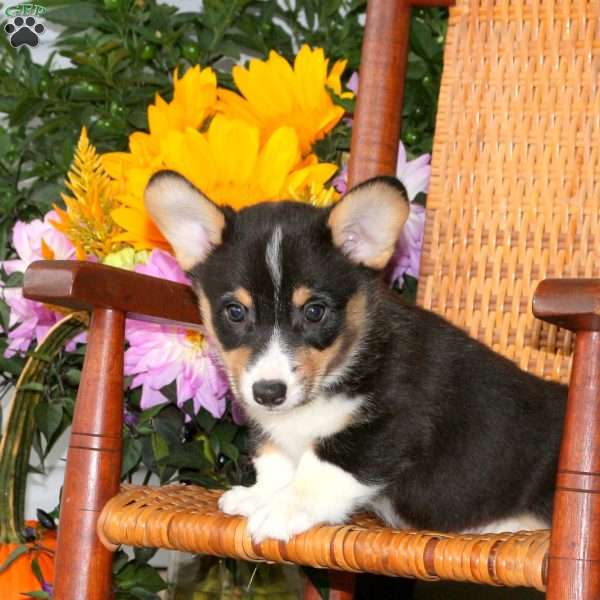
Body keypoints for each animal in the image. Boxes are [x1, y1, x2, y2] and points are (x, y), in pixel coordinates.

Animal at [145, 170, 568, 544]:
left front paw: (281, 509)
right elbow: (276, 459)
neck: (344, 362)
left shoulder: (389, 424)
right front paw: (261, 494)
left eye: (314, 311)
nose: (268, 393)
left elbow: (320, 467)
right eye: (235, 311)